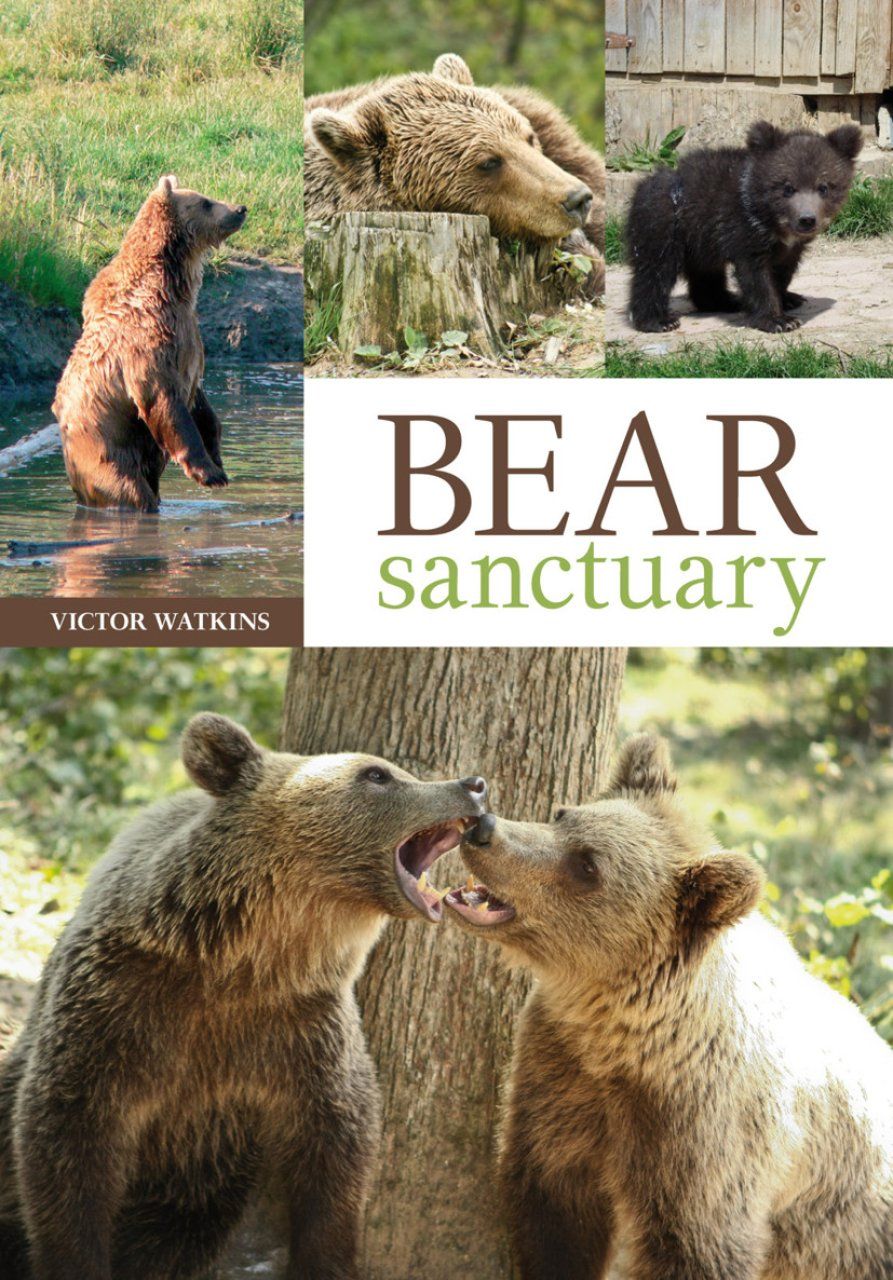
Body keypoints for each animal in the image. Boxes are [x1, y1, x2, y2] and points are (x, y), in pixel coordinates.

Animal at [0, 713, 488, 1280]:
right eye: (377, 774)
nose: (474, 784)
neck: (244, 961)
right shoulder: (117, 1007)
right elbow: (67, 1142)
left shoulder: (301, 1030)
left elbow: (338, 1147)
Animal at [53, 176, 247, 513]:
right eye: (206, 202)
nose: (239, 209)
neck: (170, 284)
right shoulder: (146, 342)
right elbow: (163, 400)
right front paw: (208, 473)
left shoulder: (187, 337)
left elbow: (199, 400)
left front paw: (219, 463)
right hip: (104, 452)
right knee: (127, 489)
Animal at [446, 734, 893, 1280]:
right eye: (562, 813)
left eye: (588, 865)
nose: (483, 829)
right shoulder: (560, 1076)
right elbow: (552, 1208)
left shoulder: (705, 1138)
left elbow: (697, 1246)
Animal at [626, 121, 863, 333]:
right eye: (787, 188)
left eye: (824, 187)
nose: (807, 219)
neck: (771, 222)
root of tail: (643, 185)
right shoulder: (743, 229)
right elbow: (756, 275)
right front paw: (778, 321)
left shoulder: (789, 247)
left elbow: (782, 271)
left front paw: (787, 299)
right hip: (664, 222)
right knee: (655, 269)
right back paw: (658, 321)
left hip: (702, 238)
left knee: (706, 271)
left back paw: (724, 300)